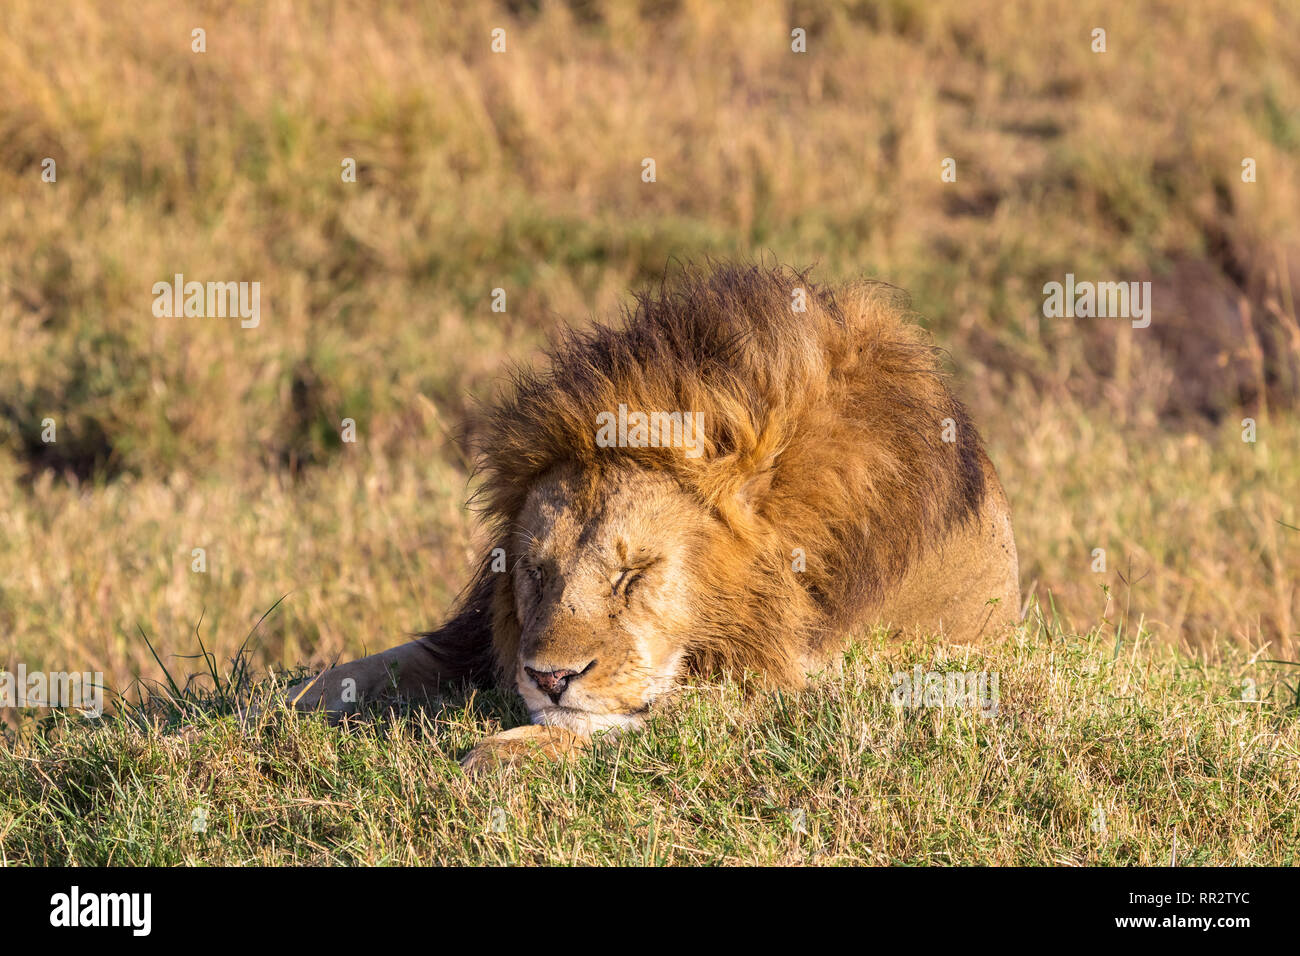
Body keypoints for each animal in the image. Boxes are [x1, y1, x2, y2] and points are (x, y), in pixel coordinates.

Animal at [279, 265, 1019, 775]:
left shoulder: (791, 677)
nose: (549, 678)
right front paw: (276, 705)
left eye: (631, 575)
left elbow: (618, 718)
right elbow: (372, 667)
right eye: (536, 574)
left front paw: (504, 753)